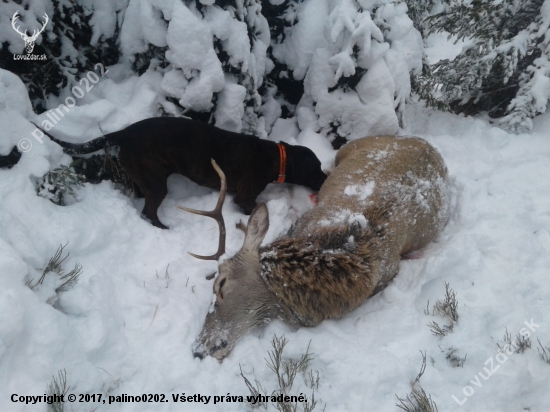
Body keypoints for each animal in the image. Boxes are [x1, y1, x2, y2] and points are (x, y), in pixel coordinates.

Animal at [37, 116, 328, 229]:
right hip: (156, 183)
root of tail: (124, 133)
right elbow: (254, 208)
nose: (327, 178)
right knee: (149, 212)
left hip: (143, 178)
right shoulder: (244, 198)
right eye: (317, 169)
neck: (276, 158)